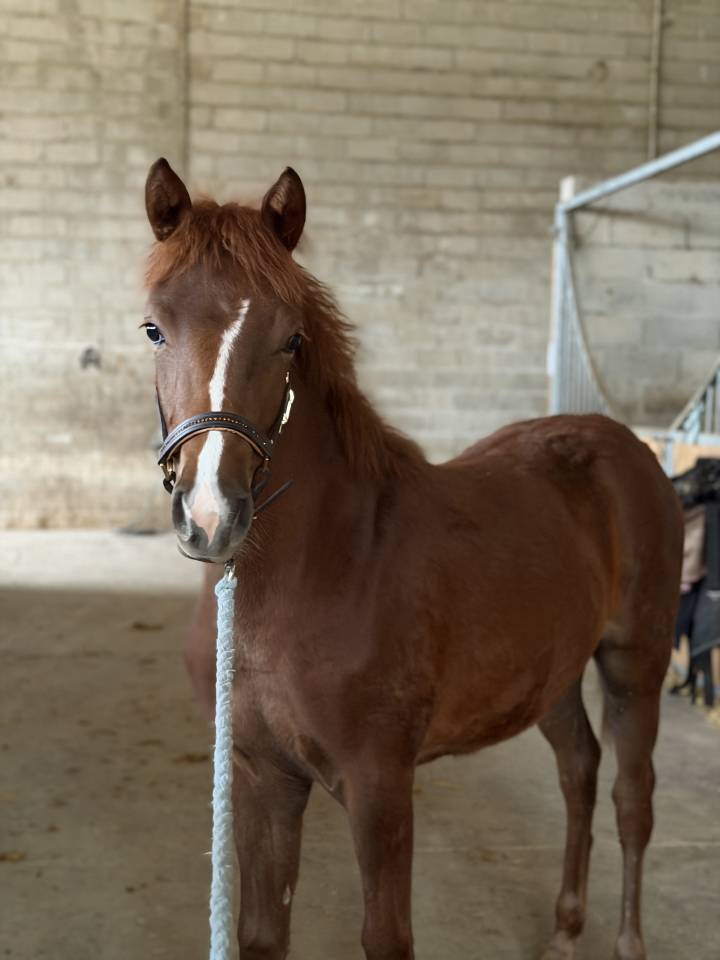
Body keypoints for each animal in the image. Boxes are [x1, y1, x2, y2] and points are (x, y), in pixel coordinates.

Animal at [142, 157, 683, 960]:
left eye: (291, 338)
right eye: (153, 328)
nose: (212, 515)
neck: (324, 567)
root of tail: (628, 448)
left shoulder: (380, 785)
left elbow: (387, 936)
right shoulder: (260, 776)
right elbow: (262, 934)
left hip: (634, 662)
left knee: (631, 798)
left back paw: (625, 941)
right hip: (550, 674)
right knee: (579, 771)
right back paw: (562, 931)